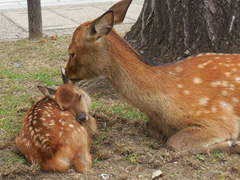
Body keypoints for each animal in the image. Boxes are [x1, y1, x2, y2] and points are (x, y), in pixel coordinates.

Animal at [64, 0, 239, 153]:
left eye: (71, 52)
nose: (67, 74)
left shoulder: (219, 118)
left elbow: (174, 142)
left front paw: (233, 144)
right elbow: (150, 128)